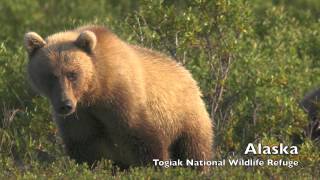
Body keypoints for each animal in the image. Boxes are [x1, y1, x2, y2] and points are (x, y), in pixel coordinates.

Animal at [23, 25, 212, 170]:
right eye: (50, 75)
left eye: (72, 74)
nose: (65, 104)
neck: (95, 91)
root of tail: (188, 74)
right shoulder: (79, 118)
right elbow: (84, 148)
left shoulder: (122, 101)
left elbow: (145, 142)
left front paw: (156, 168)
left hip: (185, 118)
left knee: (193, 150)